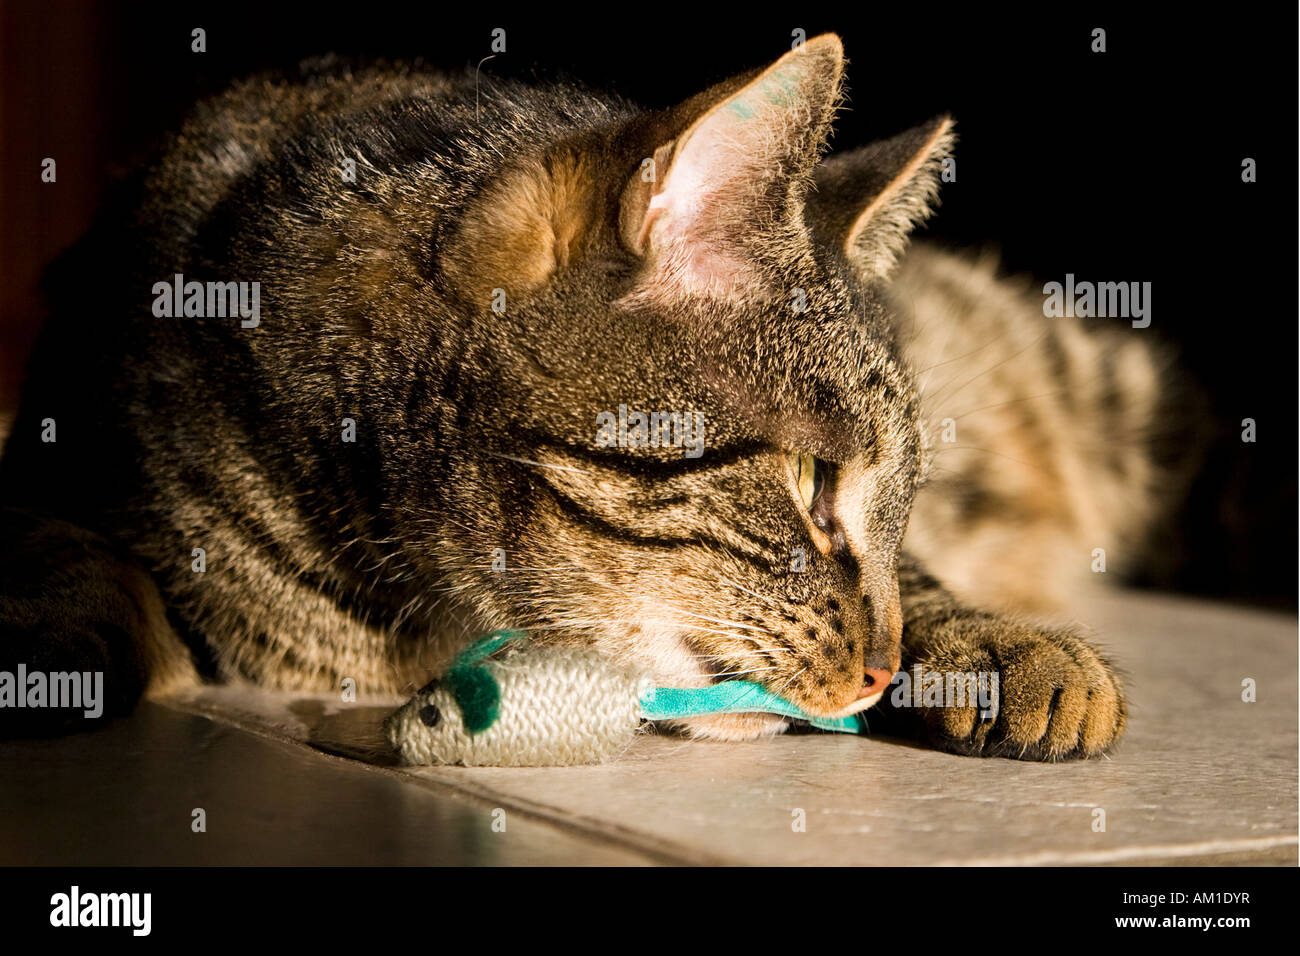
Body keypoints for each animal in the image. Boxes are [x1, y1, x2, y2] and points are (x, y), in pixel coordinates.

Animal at [0, 33, 1190, 759]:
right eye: (813, 480)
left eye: (900, 505)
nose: (881, 669)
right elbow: (63, 546)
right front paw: (57, 637)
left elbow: (933, 583)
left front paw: (993, 643)